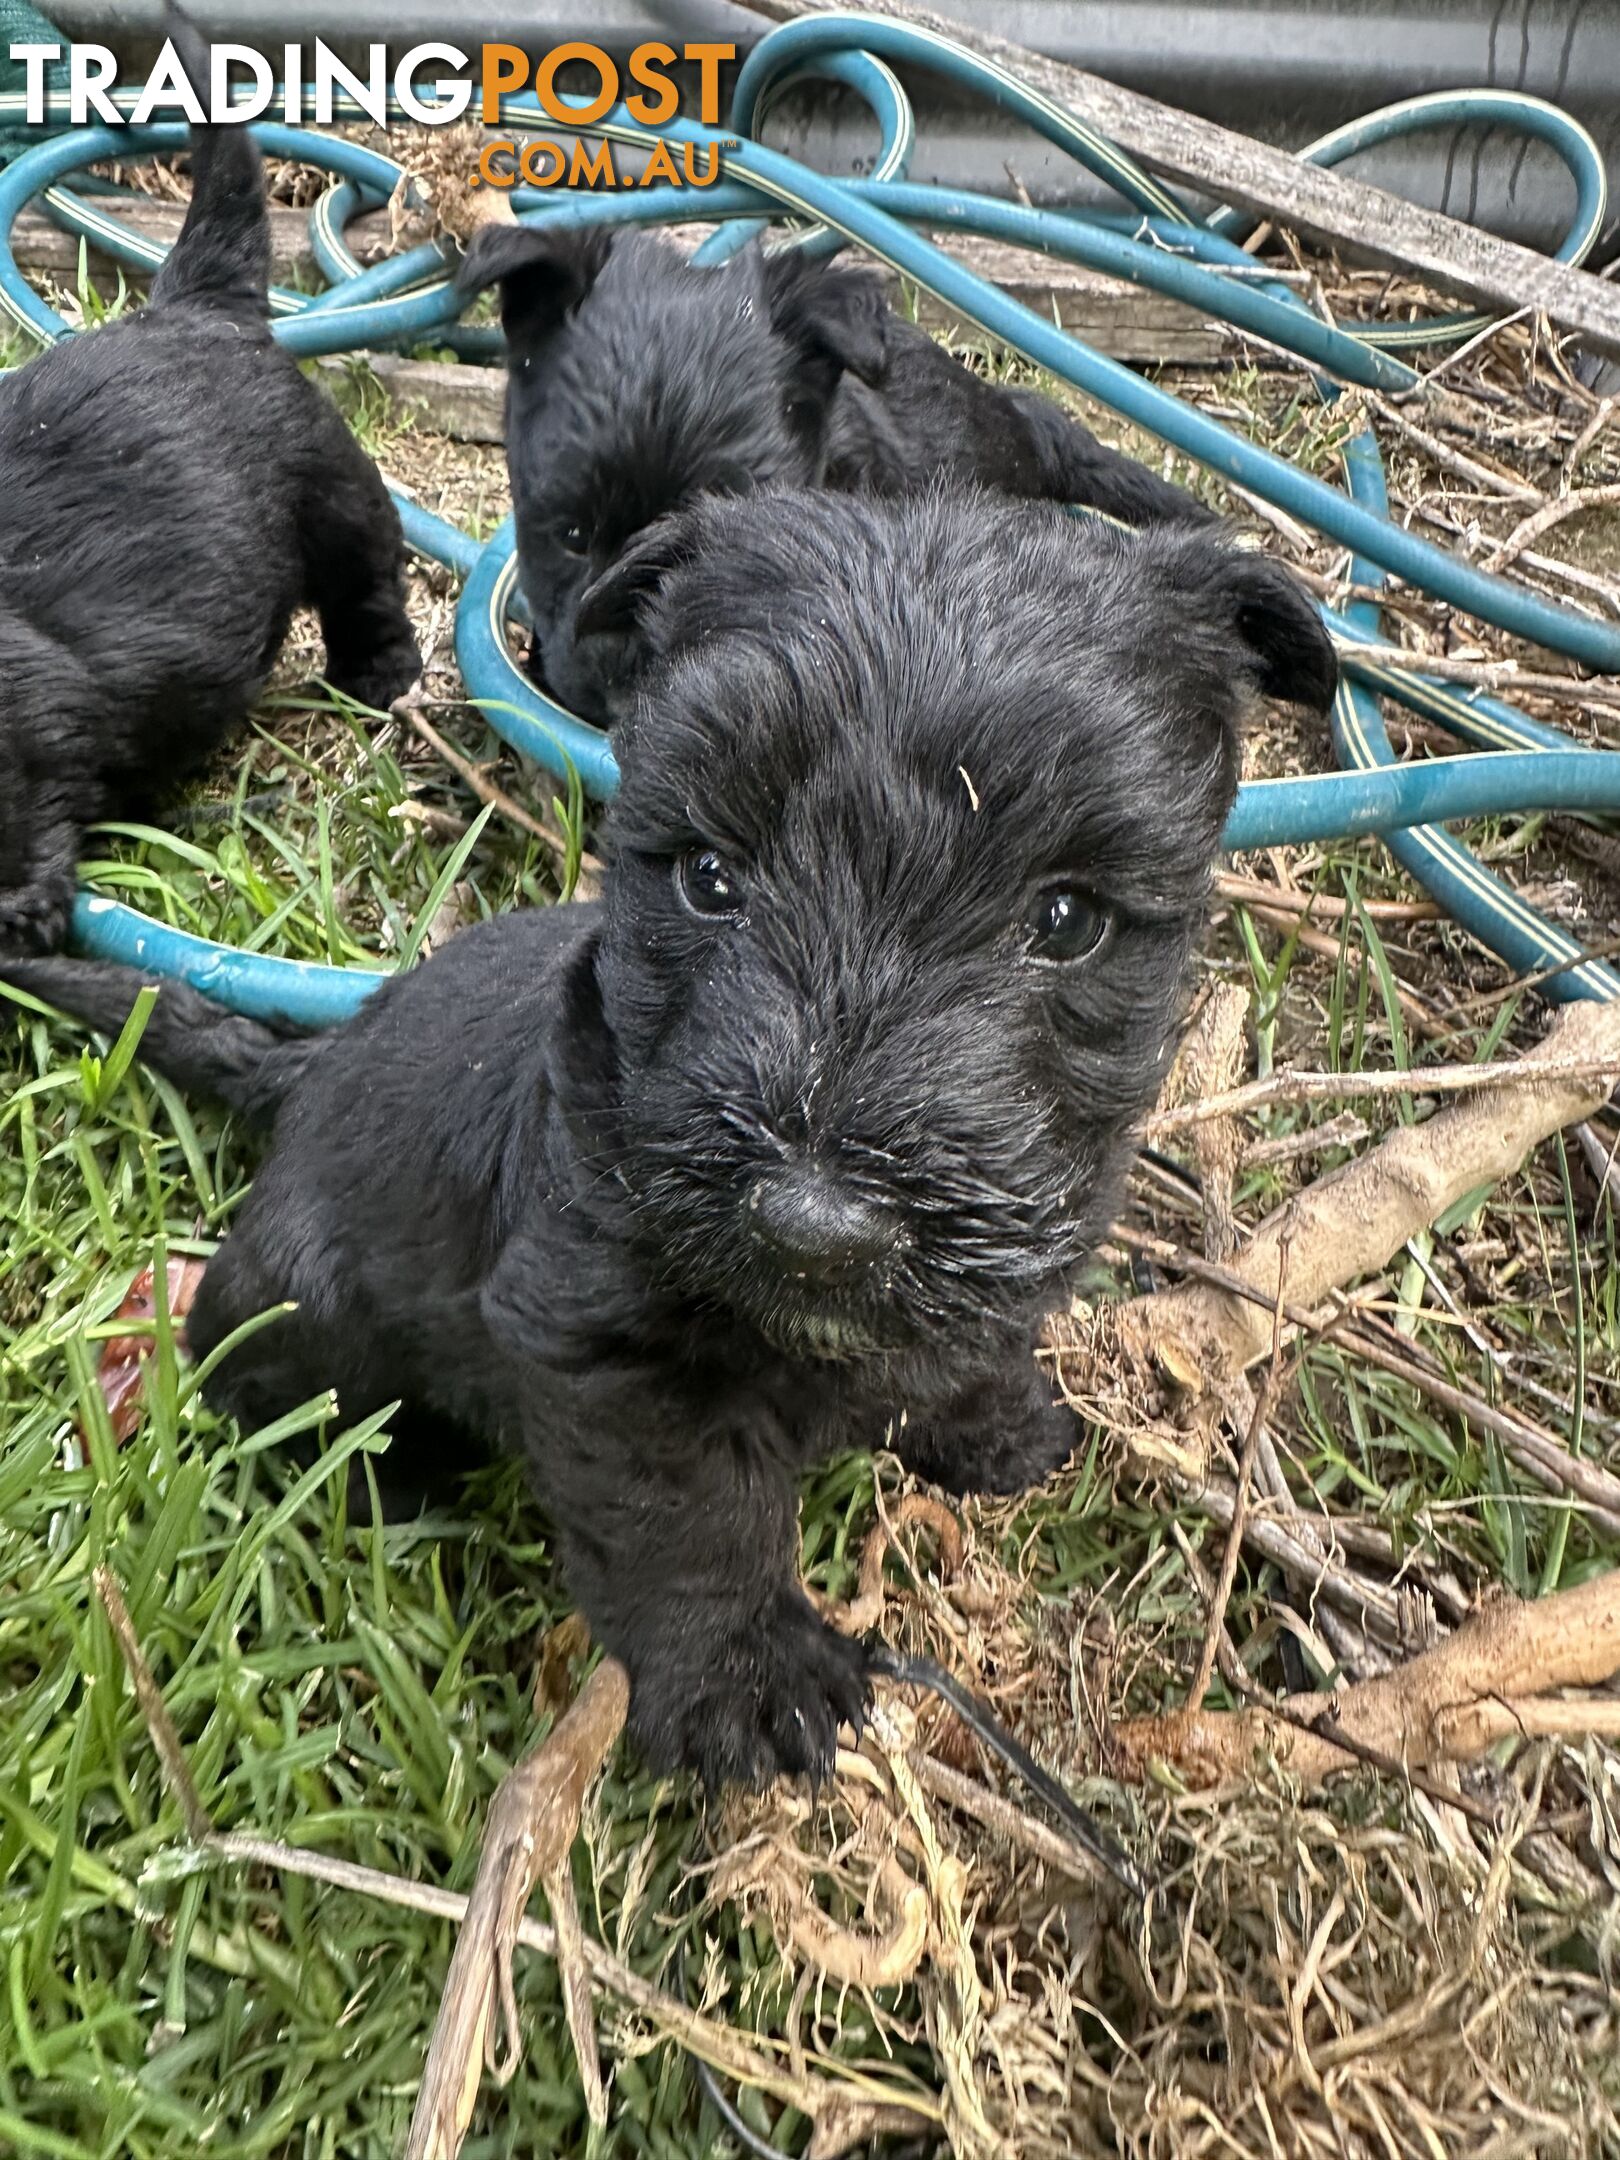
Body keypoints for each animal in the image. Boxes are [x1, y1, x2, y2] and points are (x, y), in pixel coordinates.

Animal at [0, 8, 425, 954]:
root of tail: (197, 302)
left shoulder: (28, 714)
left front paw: (22, 911)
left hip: (337, 494)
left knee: (369, 584)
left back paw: (380, 679)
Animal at [6, 490, 1339, 1788]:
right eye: (707, 875)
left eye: (1066, 921)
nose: (816, 1231)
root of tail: (310, 1066)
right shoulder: (606, 1350)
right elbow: (690, 1522)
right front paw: (749, 1683)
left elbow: (961, 1342)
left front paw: (991, 1418)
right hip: (303, 1304)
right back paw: (390, 1469)